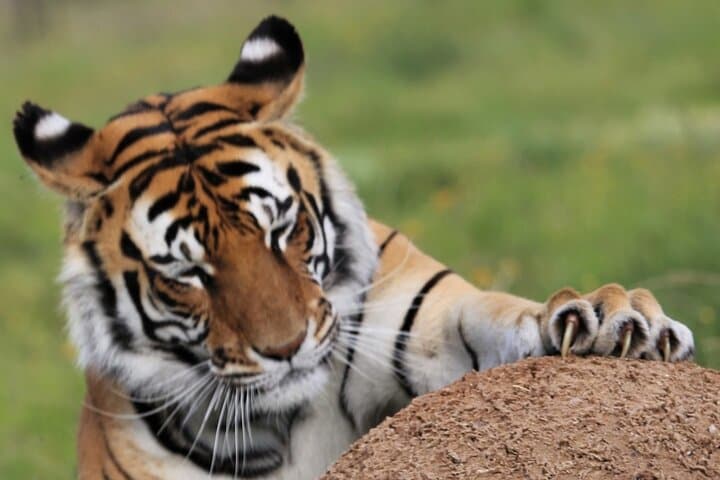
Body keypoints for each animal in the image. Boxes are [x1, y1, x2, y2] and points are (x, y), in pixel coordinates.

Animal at [12, 15, 695, 480]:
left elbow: (499, 317)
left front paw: (613, 318)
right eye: (186, 272)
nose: (284, 350)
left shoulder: (427, 322)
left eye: (282, 229)